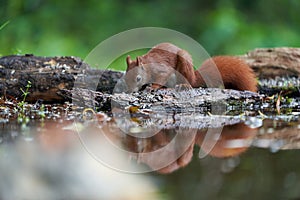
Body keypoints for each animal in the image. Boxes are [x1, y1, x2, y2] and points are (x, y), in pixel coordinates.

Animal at [125, 42, 256, 92]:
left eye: (138, 78)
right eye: (125, 79)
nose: (130, 91)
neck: (147, 67)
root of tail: (194, 78)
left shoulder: (160, 69)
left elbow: (162, 76)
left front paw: (153, 87)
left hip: (184, 63)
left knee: (189, 83)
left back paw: (184, 85)